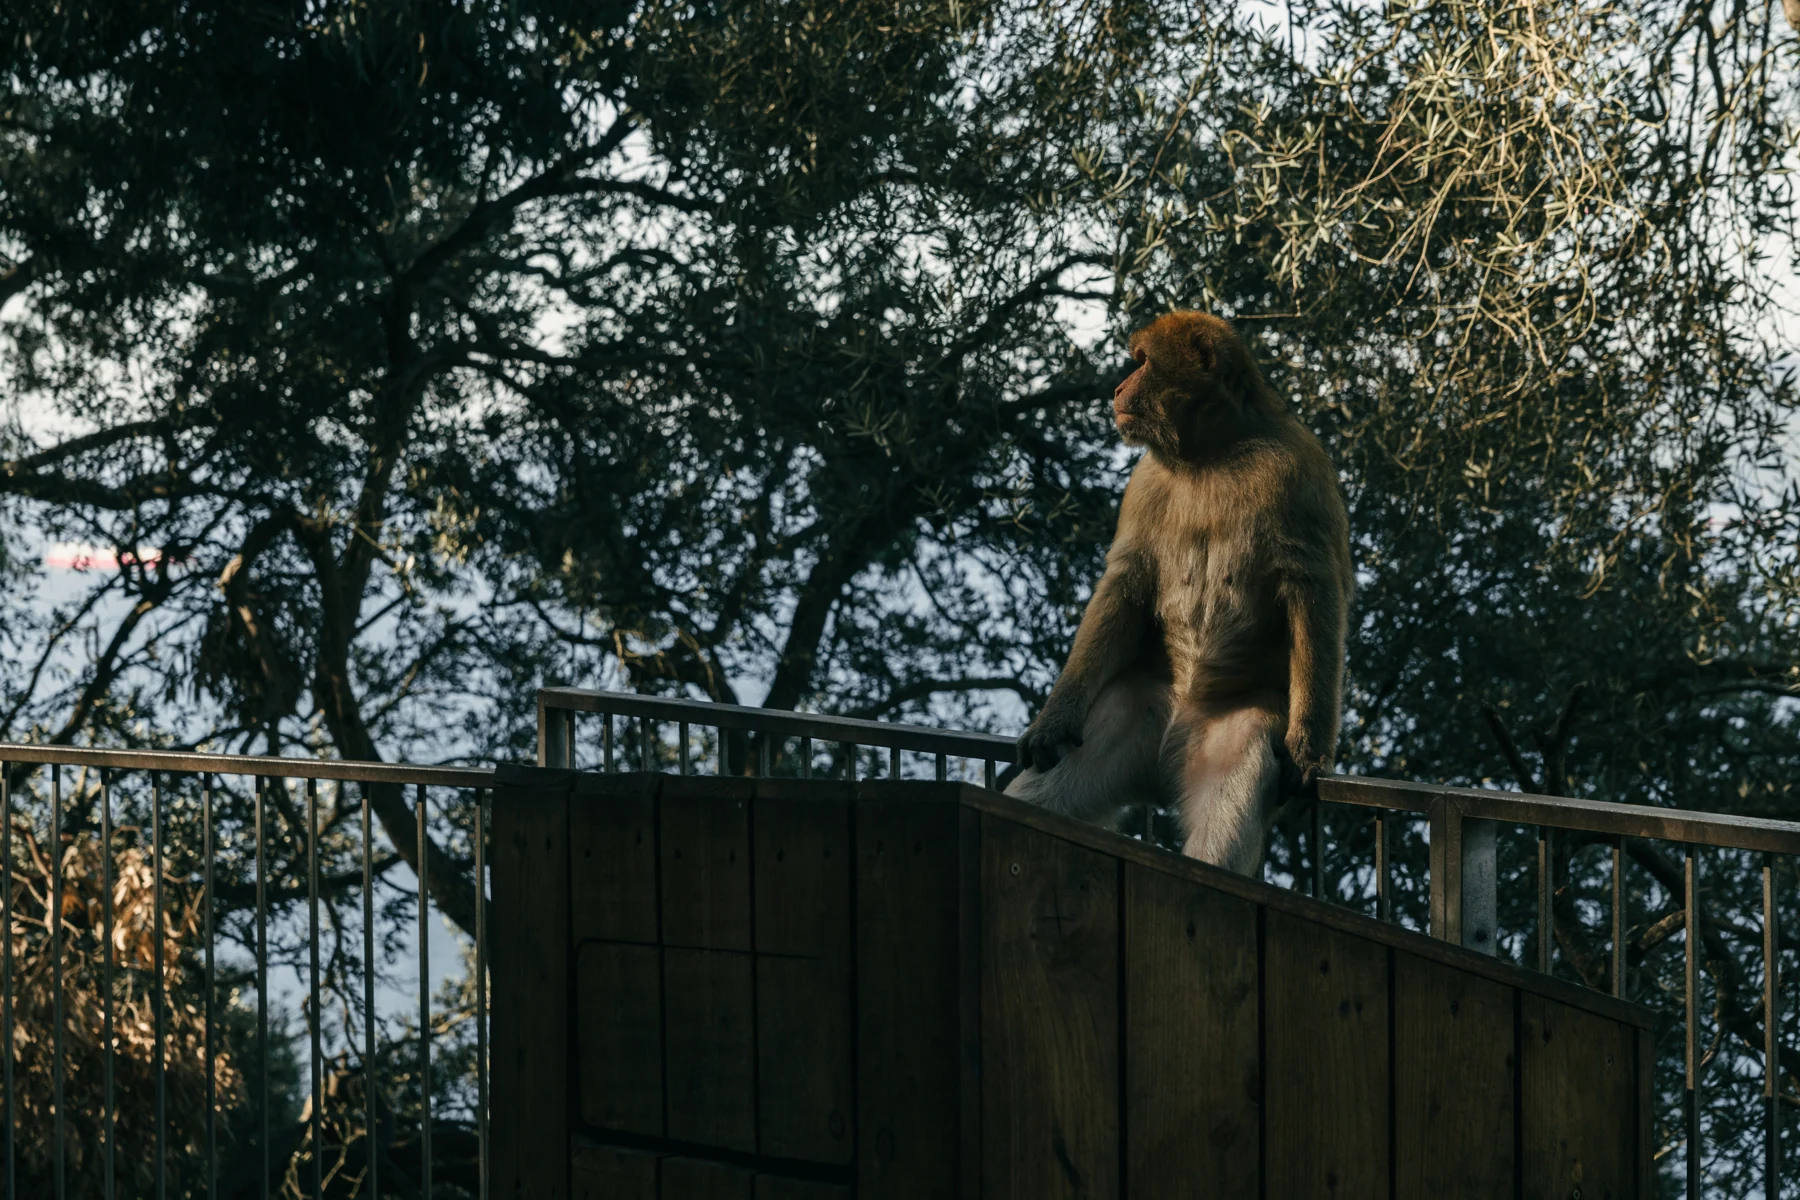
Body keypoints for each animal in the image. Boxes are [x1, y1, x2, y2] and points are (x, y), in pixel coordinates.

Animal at [1005, 311, 1351, 875]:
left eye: (1142, 362)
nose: (1118, 388)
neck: (1210, 455)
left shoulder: (1299, 474)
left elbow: (1314, 592)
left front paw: (1309, 752)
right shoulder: (1144, 483)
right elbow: (1125, 583)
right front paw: (1053, 721)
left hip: (1232, 731)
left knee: (1221, 827)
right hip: (1134, 712)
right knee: (1042, 796)